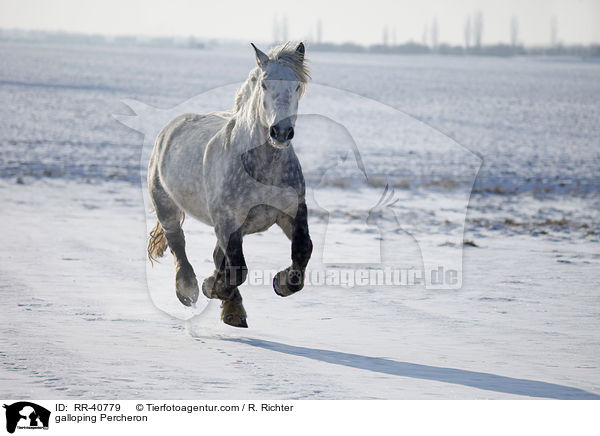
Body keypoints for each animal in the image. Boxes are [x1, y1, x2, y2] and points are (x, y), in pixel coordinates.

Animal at [146, 42, 314, 328]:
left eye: (296, 86)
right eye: (264, 84)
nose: (280, 132)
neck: (262, 168)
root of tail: (171, 128)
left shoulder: (290, 211)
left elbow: (303, 249)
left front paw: (282, 283)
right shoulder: (227, 220)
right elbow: (238, 269)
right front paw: (211, 287)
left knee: (216, 255)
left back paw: (231, 309)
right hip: (165, 203)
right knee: (177, 241)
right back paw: (189, 290)